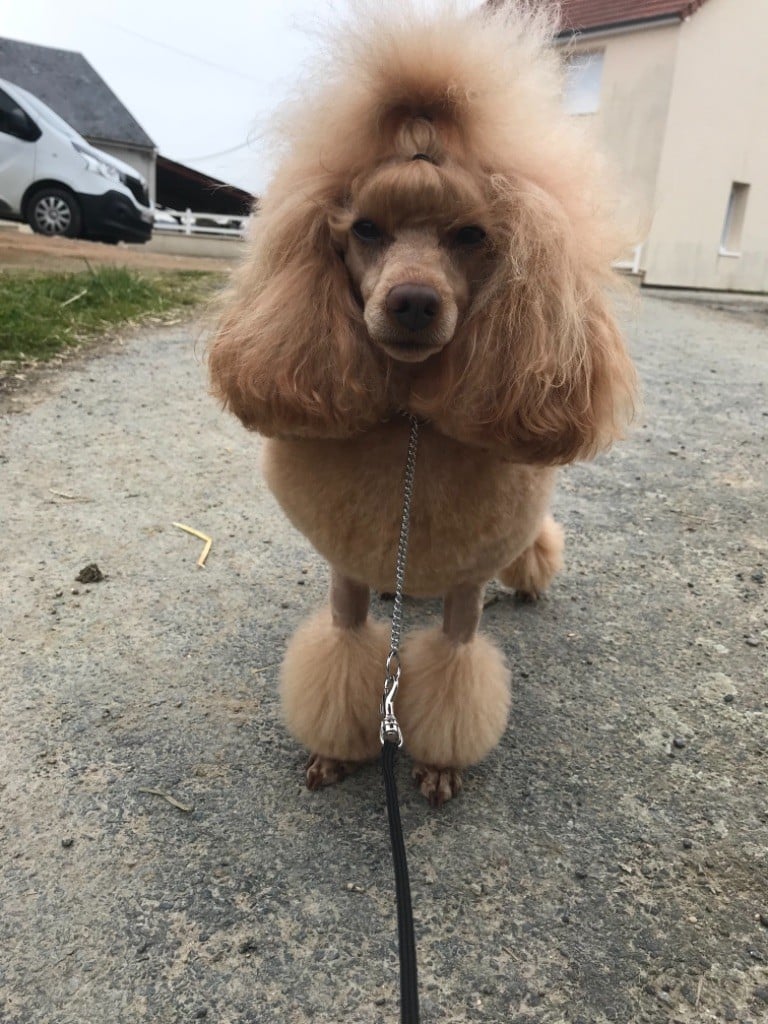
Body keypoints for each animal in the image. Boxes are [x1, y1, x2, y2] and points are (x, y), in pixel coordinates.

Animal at [208, 1, 637, 806]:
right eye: (365, 230)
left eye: (470, 235)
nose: (411, 303)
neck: (410, 424)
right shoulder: (345, 573)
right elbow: (347, 651)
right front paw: (335, 752)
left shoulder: (465, 586)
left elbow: (456, 671)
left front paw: (440, 763)